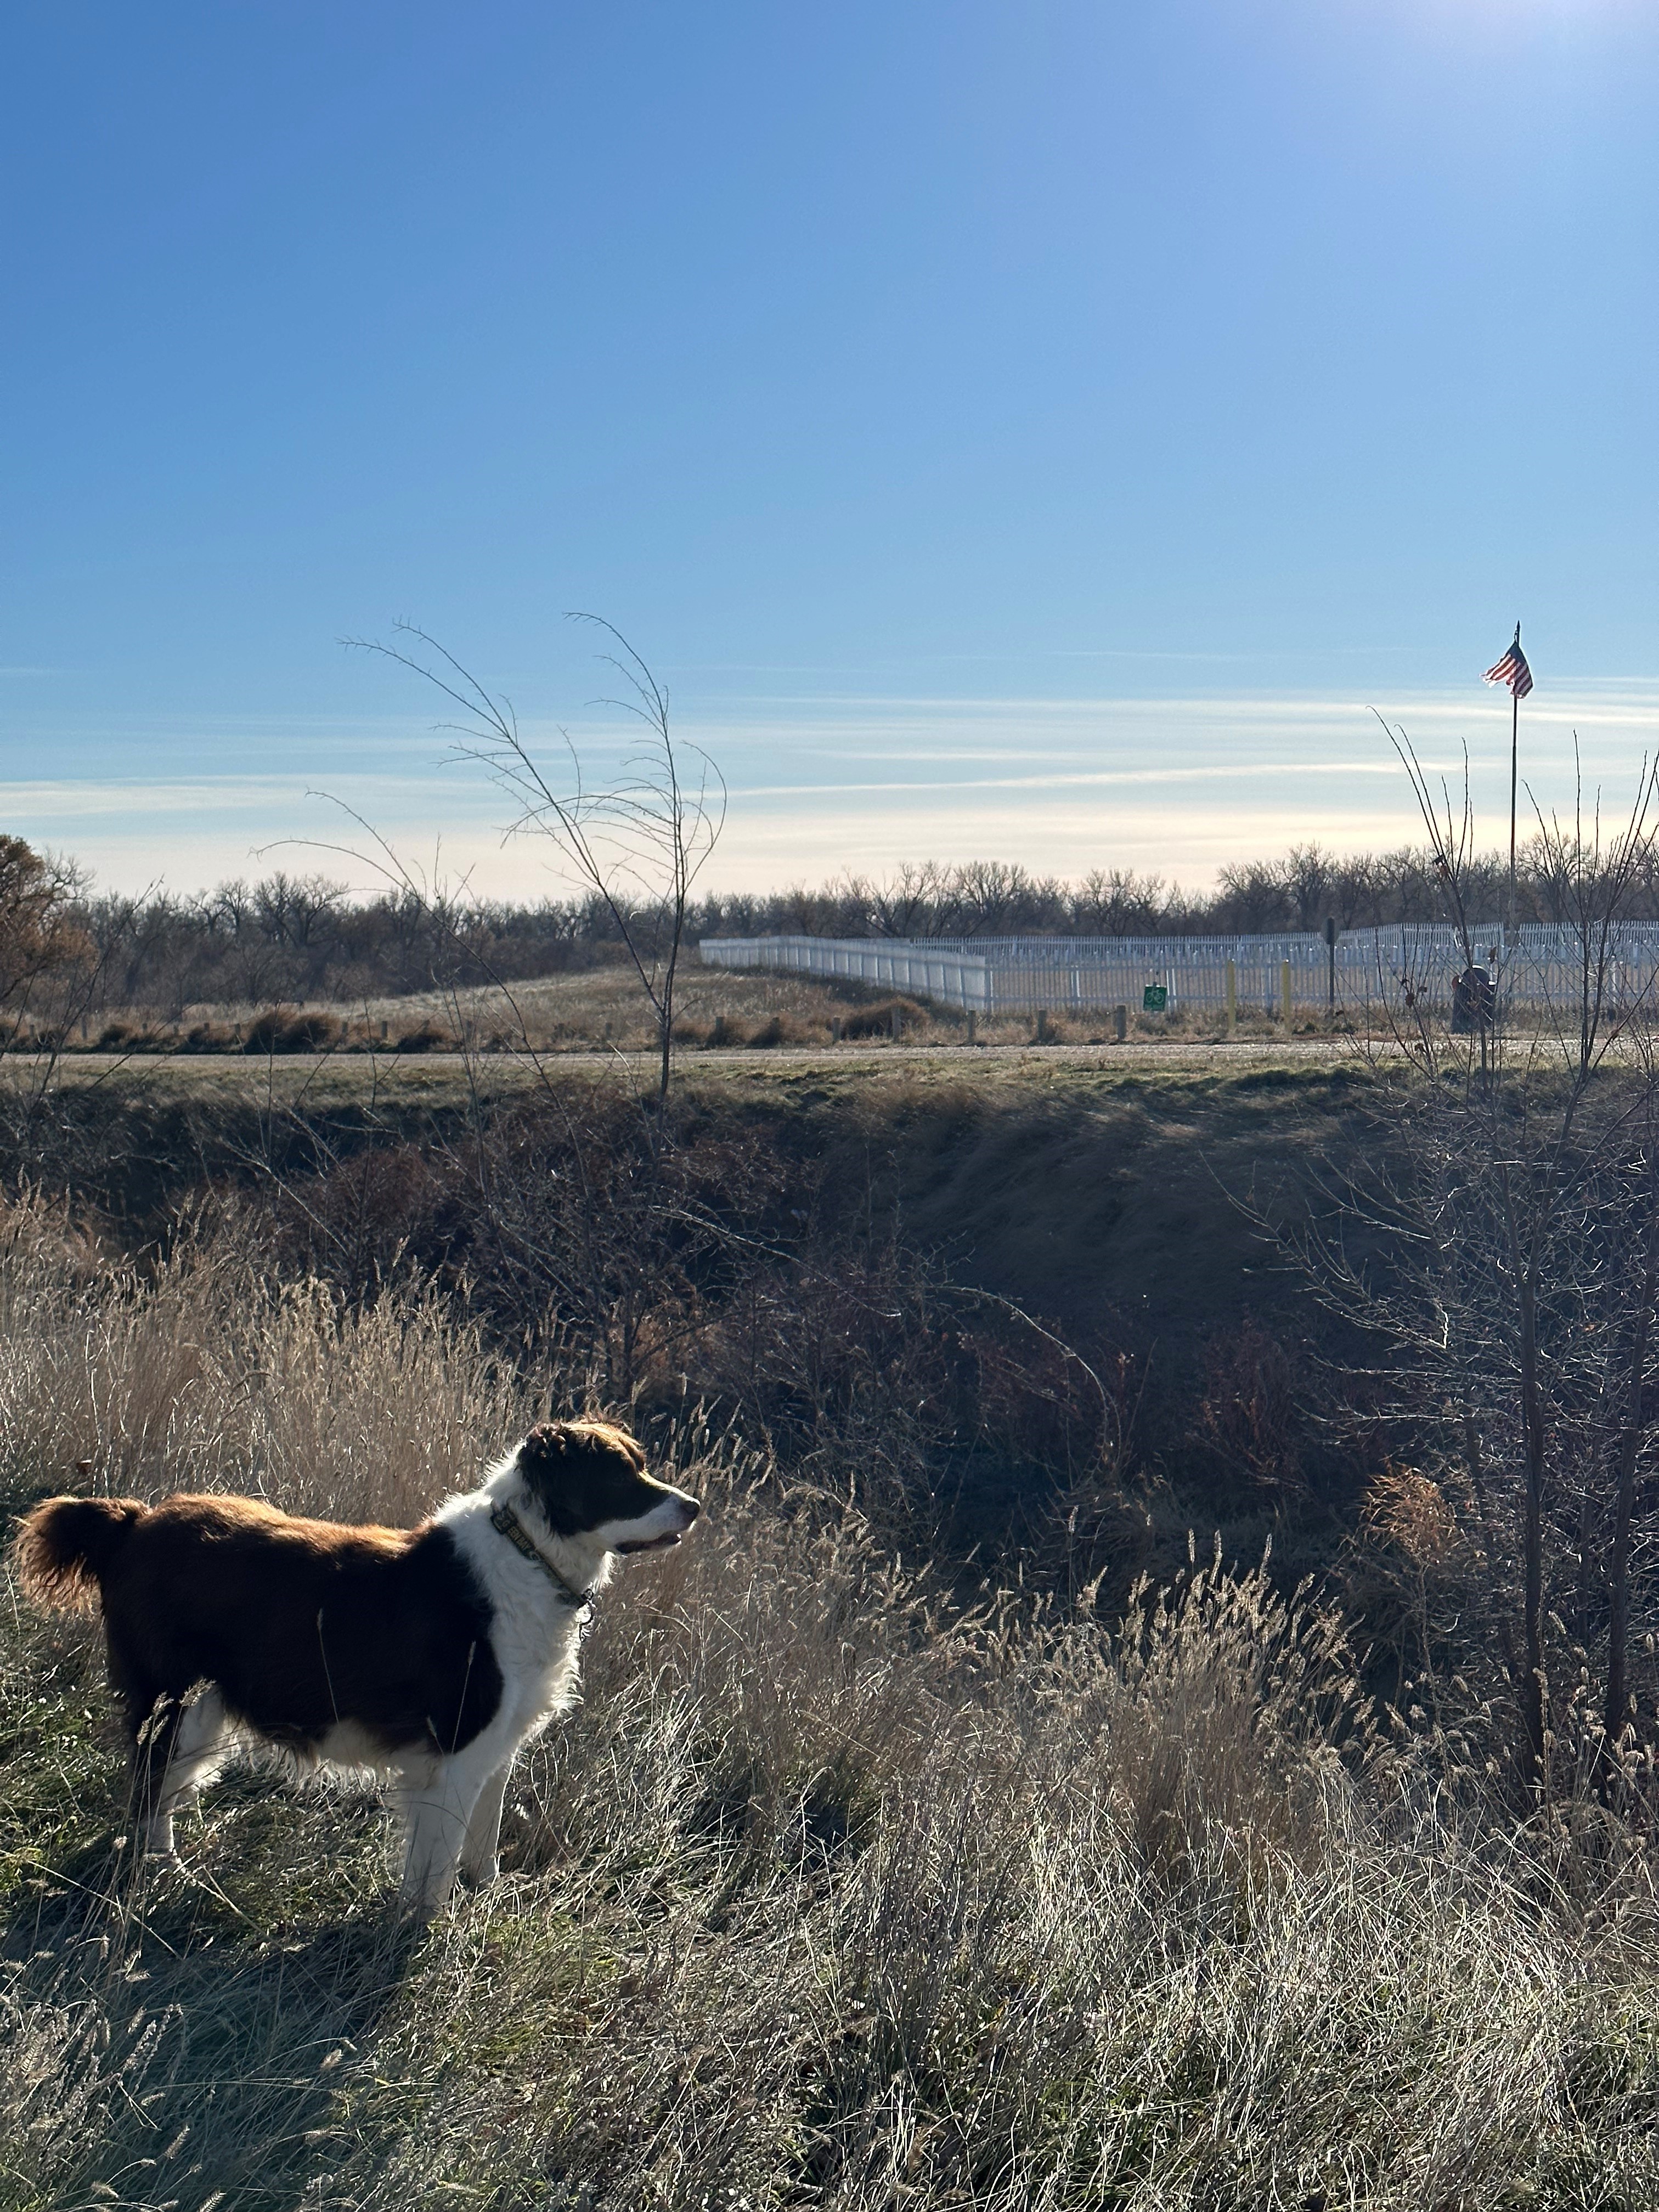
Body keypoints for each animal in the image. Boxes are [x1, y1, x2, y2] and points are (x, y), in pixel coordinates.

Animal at [8, 1424, 695, 1911]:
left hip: (202, 1711)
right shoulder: (456, 1753)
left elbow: (482, 1846)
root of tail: (135, 1521)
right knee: (148, 1792)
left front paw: (484, 1906)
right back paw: (166, 1875)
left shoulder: (496, 1748)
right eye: (623, 1477)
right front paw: (425, 1938)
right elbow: (436, 1866)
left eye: (642, 1466)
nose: (693, 1506)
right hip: (173, 1703)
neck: (529, 1555)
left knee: (157, 1795)